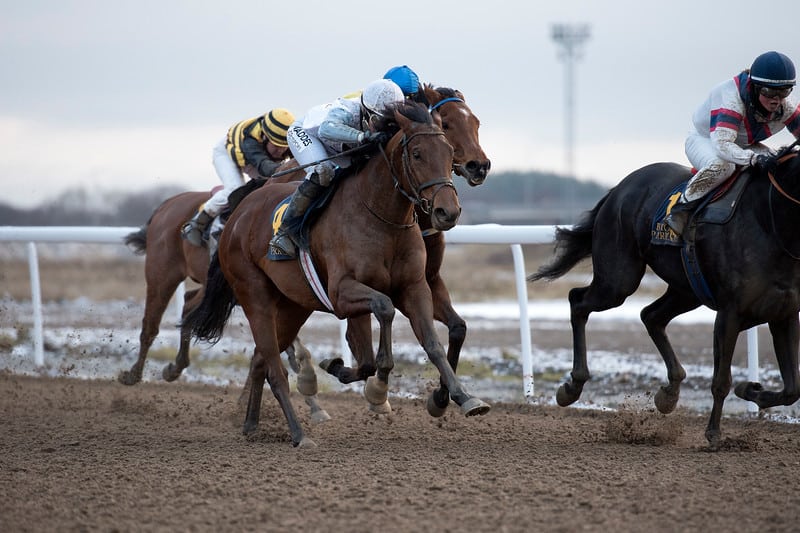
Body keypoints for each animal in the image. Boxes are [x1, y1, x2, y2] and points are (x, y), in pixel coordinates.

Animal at [118, 84, 488, 416]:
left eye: (474, 124)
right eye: (417, 153)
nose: (448, 210)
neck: (381, 215)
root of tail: (167, 206)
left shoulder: (418, 284)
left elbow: (439, 338)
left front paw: (455, 397)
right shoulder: (342, 291)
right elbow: (378, 322)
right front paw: (373, 388)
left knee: (198, 307)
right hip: (167, 275)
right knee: (153, 323)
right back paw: (134, 375)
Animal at [532, 147, 800, 448]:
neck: (770, 223)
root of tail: (618, 189)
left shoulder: (784, 313)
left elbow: (793, 388)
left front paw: (749, 389)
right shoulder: (730, 313)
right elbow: (721, 380)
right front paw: (714, 433)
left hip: (687, 291)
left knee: (650, 316)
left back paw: (669, 393)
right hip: (618, 280)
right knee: (578, 301)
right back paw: (573, 386)